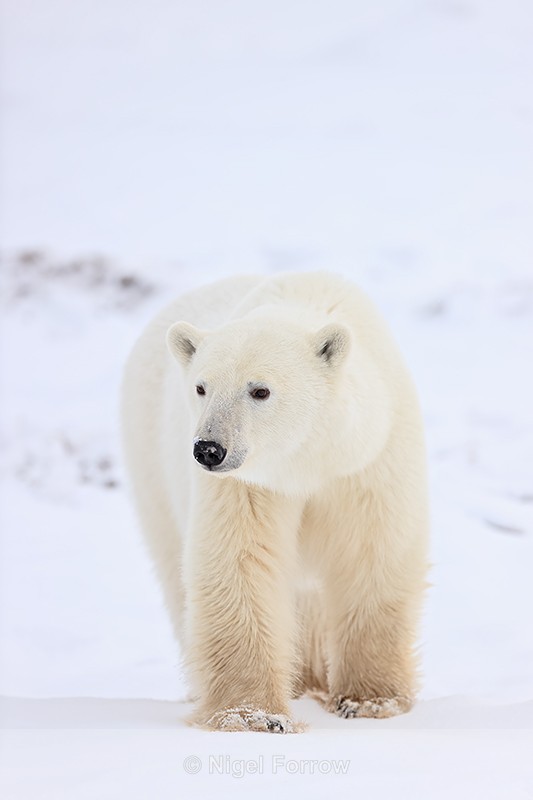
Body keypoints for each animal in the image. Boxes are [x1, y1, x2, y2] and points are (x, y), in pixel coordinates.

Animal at [121, 271, 429, 733]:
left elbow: (371, 555)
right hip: (150, 464)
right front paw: (253, 716)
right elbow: (238, 565)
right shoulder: (248, 486)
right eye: (201, 387)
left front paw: (370, 701)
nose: (209, 449)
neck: (309, 462)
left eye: (260, 390)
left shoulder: (367, 462)